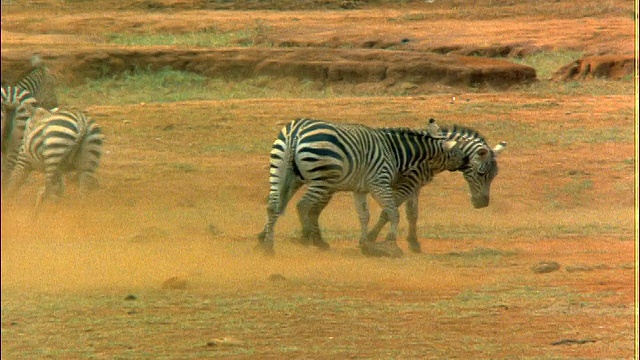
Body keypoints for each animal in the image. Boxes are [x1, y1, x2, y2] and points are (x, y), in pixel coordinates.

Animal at [255, 117, 484, 256]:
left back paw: (268, 246)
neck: (396, 152)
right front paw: (392, 245)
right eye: (456, 151)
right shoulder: (379, 183)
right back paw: (304, 238)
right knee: (302, 205)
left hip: (282, 170)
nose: (467, 161)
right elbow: (392, 212)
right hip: (321, 177)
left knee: (274, 205)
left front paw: (365, 244)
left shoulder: (360, 189)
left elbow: (364, 215)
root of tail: (296, 131)